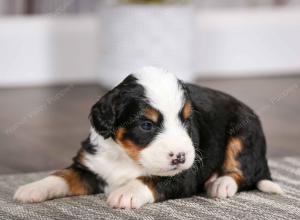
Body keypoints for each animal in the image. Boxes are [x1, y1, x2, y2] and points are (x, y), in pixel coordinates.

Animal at [13, 66, 282, 208]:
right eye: (146, 125)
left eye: (186, 120)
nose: (180, 156)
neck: (127, 157)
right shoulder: (90, 166)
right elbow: (62, 176)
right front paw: (32, 188)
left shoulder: (184, 175)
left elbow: (152, 180)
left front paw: (126, 193)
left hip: (244, 133)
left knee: (244, 173)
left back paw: (221, 183)